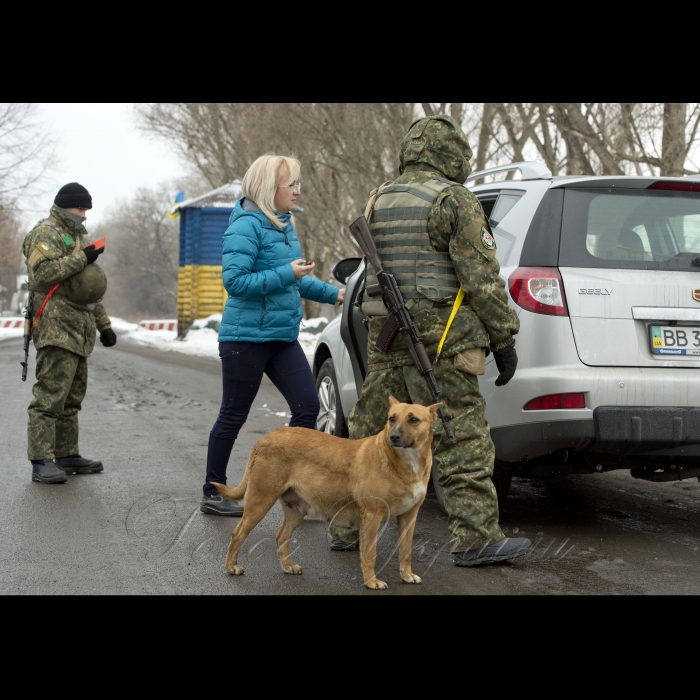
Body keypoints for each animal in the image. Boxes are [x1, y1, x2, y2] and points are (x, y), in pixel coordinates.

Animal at [215, 396, 442, 588]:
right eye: (391, 419)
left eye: (413, 419)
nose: (393, 437)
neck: (404, 462)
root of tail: (265, 439)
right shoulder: (372, 516)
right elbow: (370, 554)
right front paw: (371, 582)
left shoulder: (408, 517)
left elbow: (406, 551)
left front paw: (407, 576)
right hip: (260, 501)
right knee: (238, 533)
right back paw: (231, 567)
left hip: (296, 511)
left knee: (281, 537)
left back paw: (288, 566)